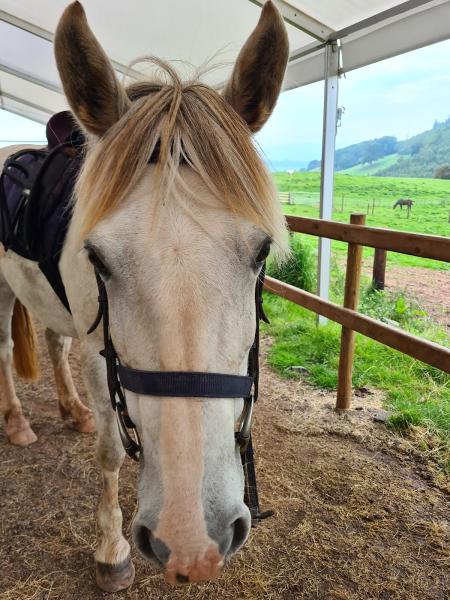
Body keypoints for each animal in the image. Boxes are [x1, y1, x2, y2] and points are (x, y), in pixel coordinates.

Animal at [0, 0, 288, 588]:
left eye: (261, 252)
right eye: (97, 258)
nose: (192, 539)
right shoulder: (100, 352)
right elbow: (111, 452)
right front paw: (111, 552)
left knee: (54, 344)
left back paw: (72, 411)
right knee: (2, 350)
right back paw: (18, 424)